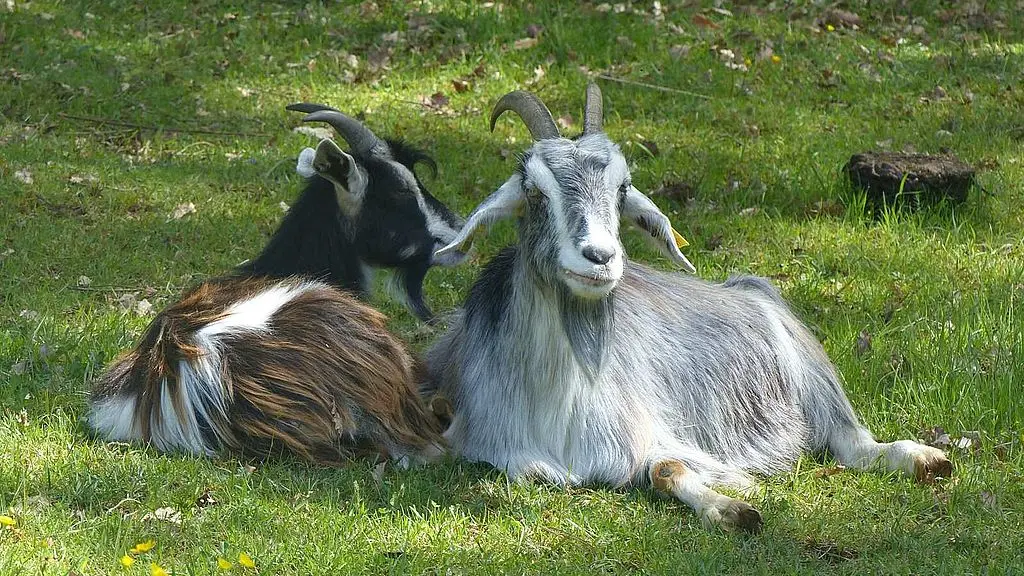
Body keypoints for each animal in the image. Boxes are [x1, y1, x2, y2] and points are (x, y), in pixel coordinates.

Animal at [423, 85, 950, 528]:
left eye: (621, 188)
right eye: (533, 188)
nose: (600, 256)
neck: (560, 391)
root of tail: (749, 289)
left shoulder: (647, 433)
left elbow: (669, 467)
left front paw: (733, 506)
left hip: (815, 382)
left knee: (854, 444)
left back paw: (925, 458)